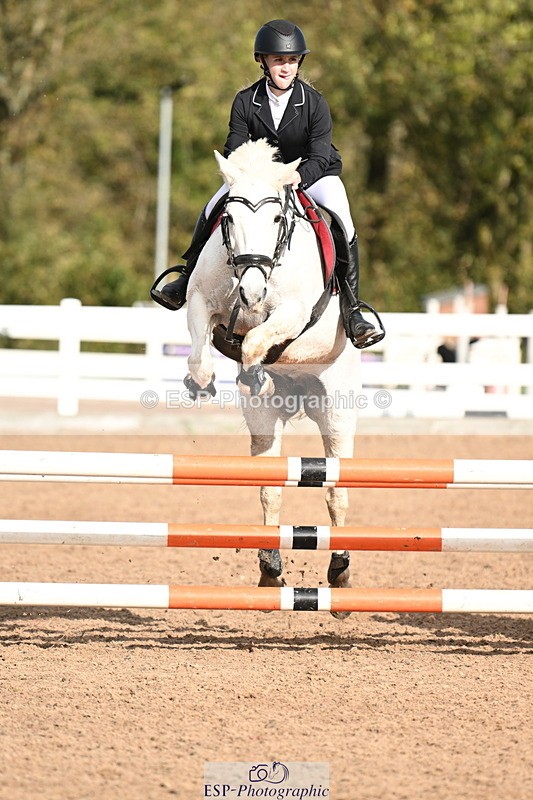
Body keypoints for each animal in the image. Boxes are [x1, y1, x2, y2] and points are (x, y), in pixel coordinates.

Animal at [184, 139, 361, 617]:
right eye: (227, 219)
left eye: (278, 219)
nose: (251, 292)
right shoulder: (200, 300)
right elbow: (203, 347)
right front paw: (206, 379)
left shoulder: (293, 312)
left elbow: (255, 341)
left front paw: (255, 369)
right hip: (266, 426)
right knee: (271, 488)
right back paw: (270, 570)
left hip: (337, 414)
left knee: (336, 491)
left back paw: (340, 574)